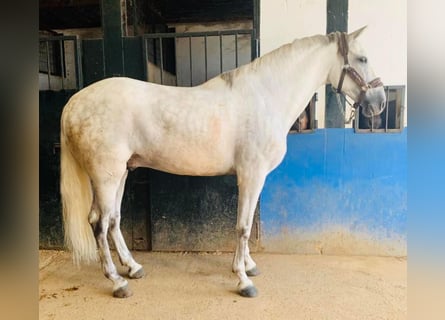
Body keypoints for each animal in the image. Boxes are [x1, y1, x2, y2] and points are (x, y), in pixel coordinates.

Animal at [59, 26, 386, 298]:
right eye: (363, 58)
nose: (379, 103)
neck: (266, 98)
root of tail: (75, 102)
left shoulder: (253, 177)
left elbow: (247, 222)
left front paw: (248, 265)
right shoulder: (251, 175)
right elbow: (243, 226)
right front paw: (244, 280)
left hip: (121, 174)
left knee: (114, 219)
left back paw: (134, 268)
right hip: (106, 175)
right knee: (99, 222)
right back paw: (117, 282)